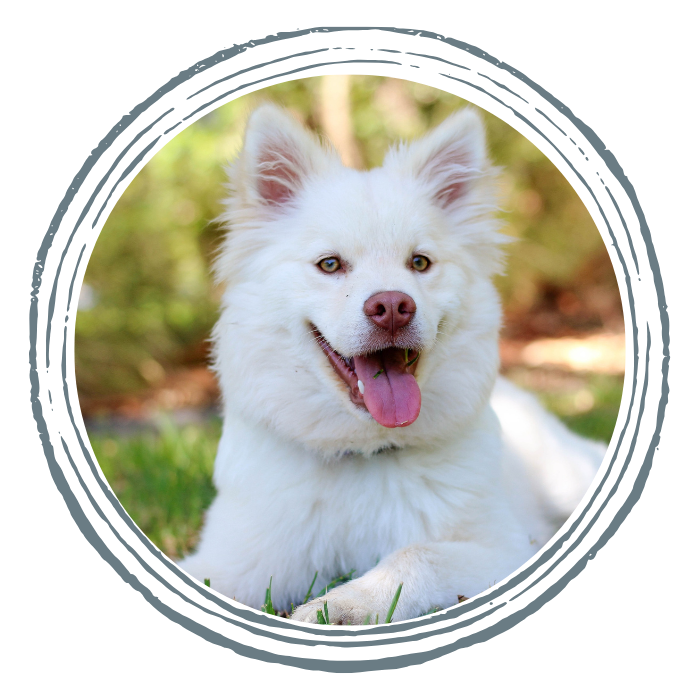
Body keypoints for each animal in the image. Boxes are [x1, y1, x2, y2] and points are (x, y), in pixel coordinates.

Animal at [178, 102, 608, 624]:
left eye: (419, 263)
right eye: (330, 264)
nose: (392, 307)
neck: (363, 454)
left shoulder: (503, 548)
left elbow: (414, 556)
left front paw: (343, 605)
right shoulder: (236, 560)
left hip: (569, 477)